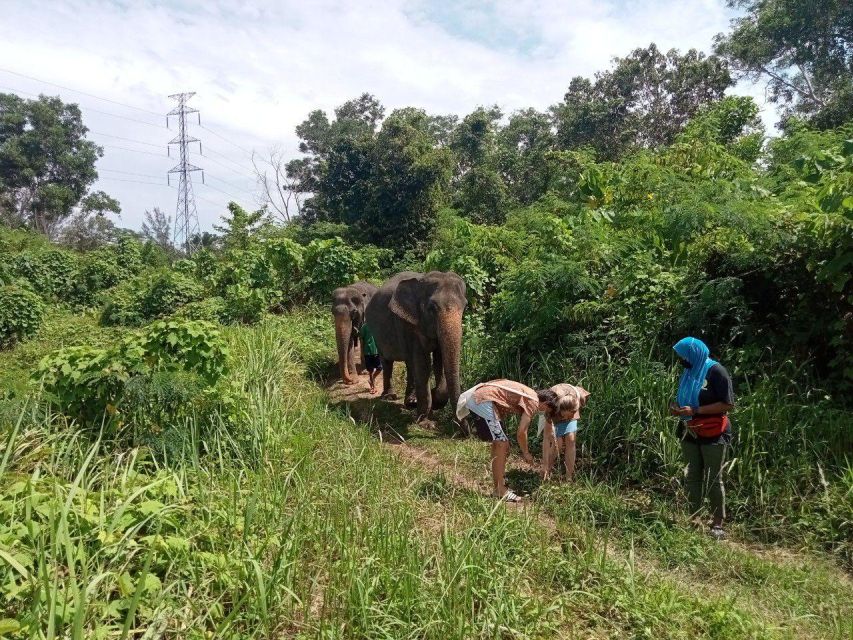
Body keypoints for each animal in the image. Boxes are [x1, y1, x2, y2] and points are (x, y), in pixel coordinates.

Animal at [362, 270, 462, 420]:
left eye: (465, 306)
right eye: (431, 308)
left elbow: (438, 361)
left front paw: (434, 401)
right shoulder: (407, 323)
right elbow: (423, 365)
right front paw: (424, 419)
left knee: (409, 363)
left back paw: (410, 401)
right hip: (376, 332)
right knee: (387, 361)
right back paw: (390, 396)